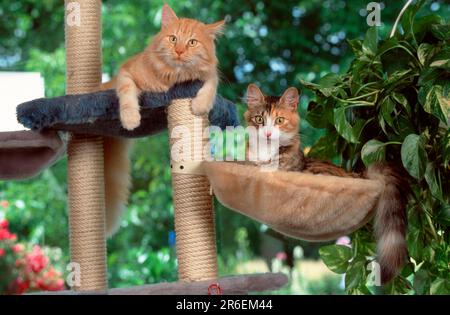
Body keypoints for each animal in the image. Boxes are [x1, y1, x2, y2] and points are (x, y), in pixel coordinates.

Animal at [99, 4, 225, 237]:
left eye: (192, 42)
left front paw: (199, 105)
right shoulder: (125, 73)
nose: (179, 51)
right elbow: (128, 95)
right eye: (173, 39)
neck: (172, 79)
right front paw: (131, 119)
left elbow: (211, 85)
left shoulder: (210, 76)